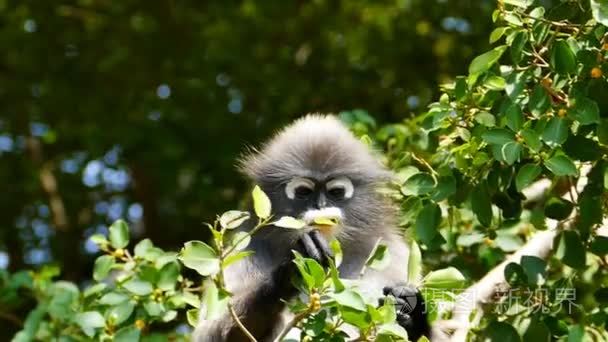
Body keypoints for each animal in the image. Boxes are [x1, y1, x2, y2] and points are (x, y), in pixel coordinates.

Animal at [192, 115, 430, 342]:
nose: (320, 206)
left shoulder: (395, 251)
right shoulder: (244, 246)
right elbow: (210, 334)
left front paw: (409, 307)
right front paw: (291, 270)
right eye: (304, 192)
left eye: (336, 192)